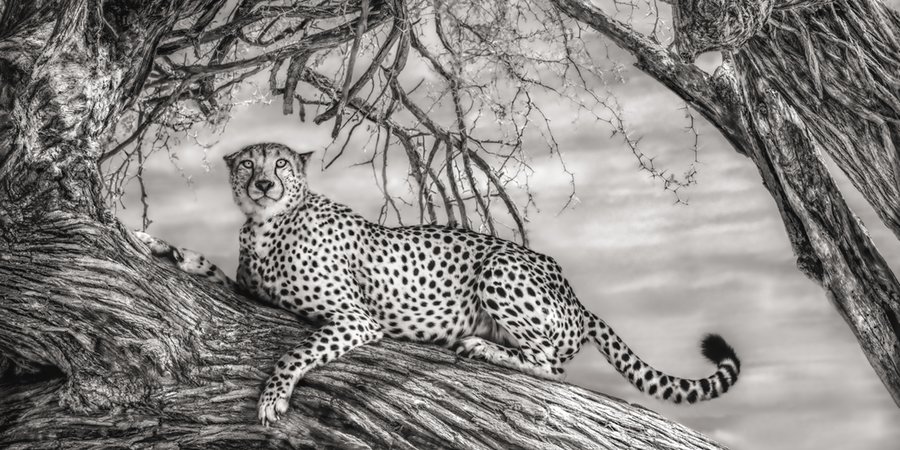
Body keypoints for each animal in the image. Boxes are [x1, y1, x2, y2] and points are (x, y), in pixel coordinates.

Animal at [136, 142, 741, 426]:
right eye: (248, 165)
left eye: (282, 164)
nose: (263, 183)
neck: (266, 225)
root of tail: (574, 292)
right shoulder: (247, 291)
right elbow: (212, 271)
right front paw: (161, 246)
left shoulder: (356, 319)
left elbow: (297, 352)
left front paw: (272, 399)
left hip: (501, 268)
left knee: (550, 364)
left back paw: (481, 346)